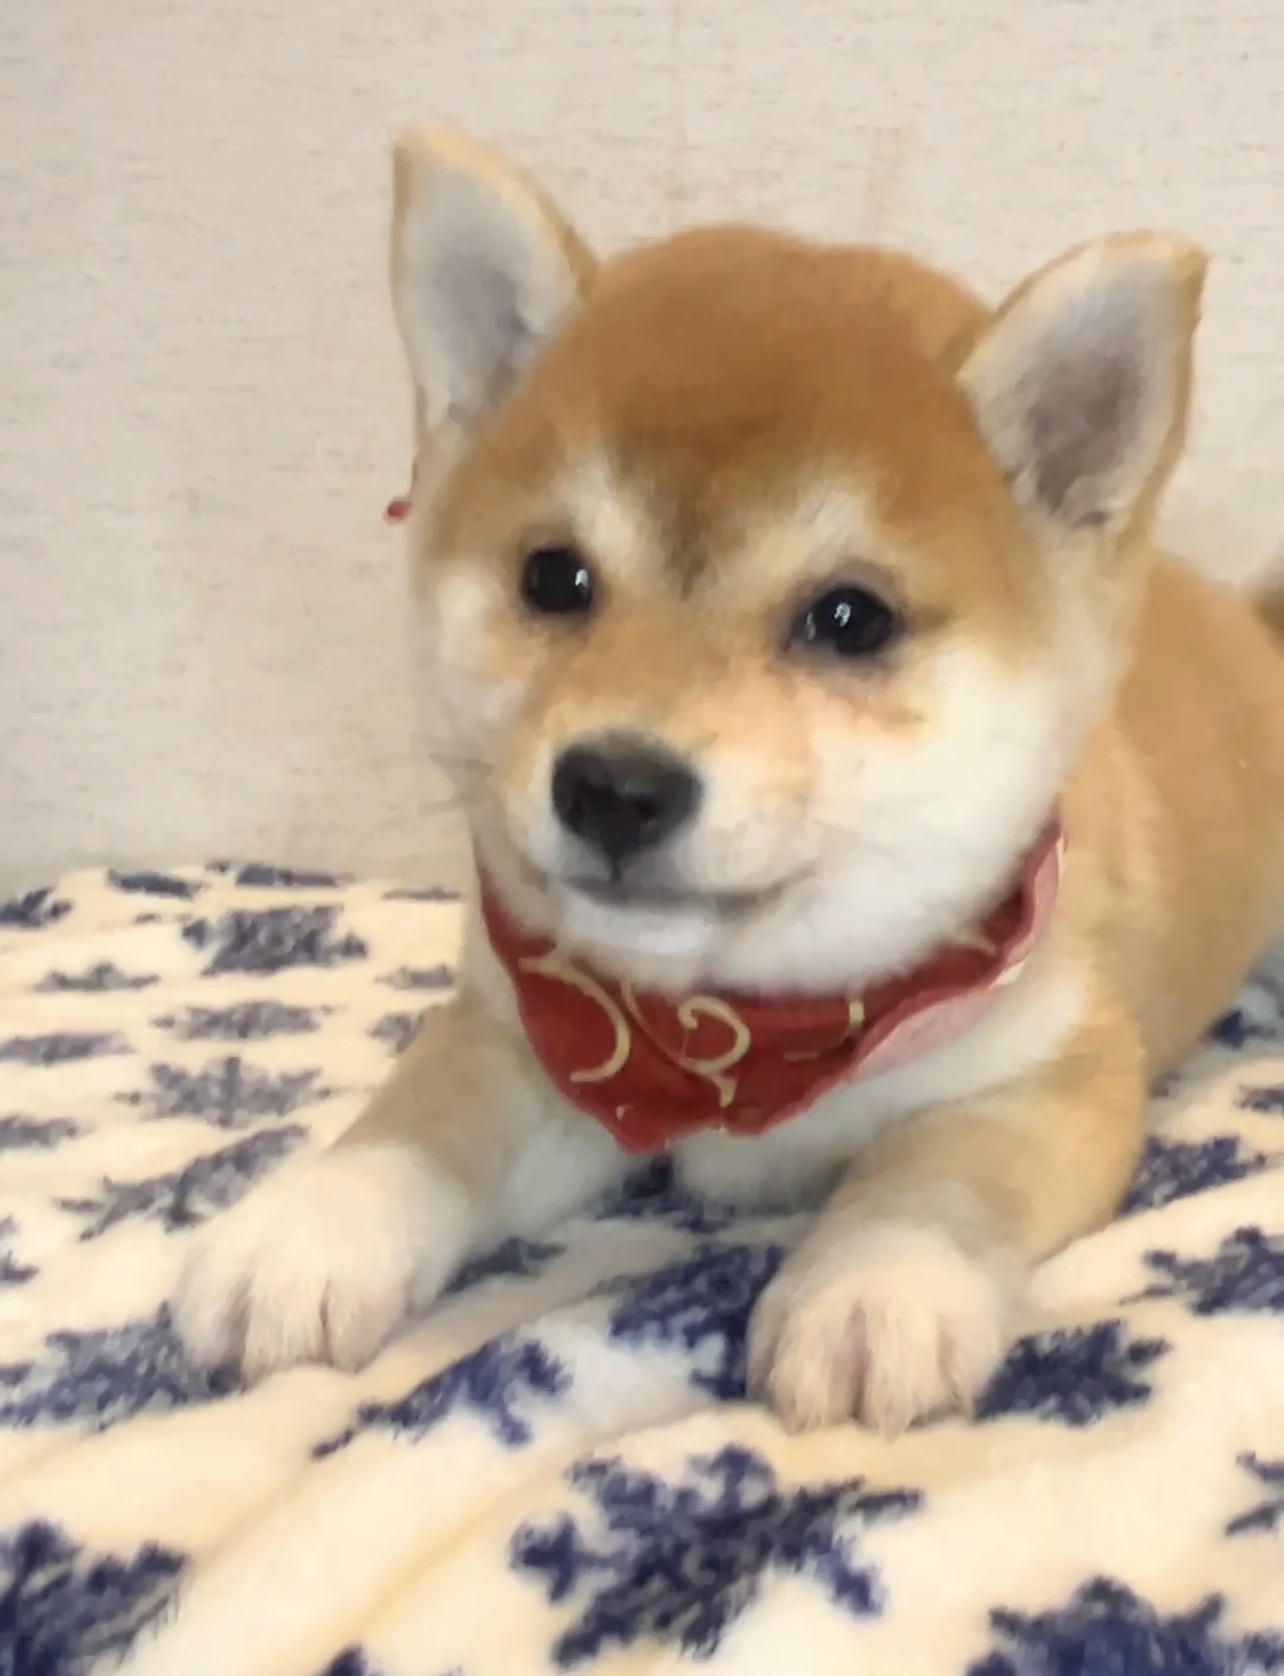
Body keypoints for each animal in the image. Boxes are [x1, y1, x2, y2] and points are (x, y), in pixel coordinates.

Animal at [173, 128, 1284, 1435]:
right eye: (553, 577)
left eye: (850, 618)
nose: (615, 784)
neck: (730, 1033)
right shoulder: (519, 1040)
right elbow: (421, 1112)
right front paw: (311, 1220)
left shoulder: (1058, 1075)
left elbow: (935, 1172)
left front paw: (873, 1284)